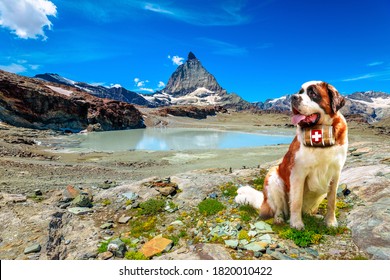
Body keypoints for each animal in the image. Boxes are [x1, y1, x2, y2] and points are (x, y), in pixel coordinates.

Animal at [235, 81, 348, 230]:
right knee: (279, 209)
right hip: (273, 178)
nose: (293, 97)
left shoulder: (335, 174)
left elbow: (332, 201)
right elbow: (296, 201)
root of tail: (264, 202)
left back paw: (314, 216)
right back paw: (279, 219)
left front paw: (330, 222)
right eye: (300, 92)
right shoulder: (298, 173)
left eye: (312, 93)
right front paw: (296, 223)